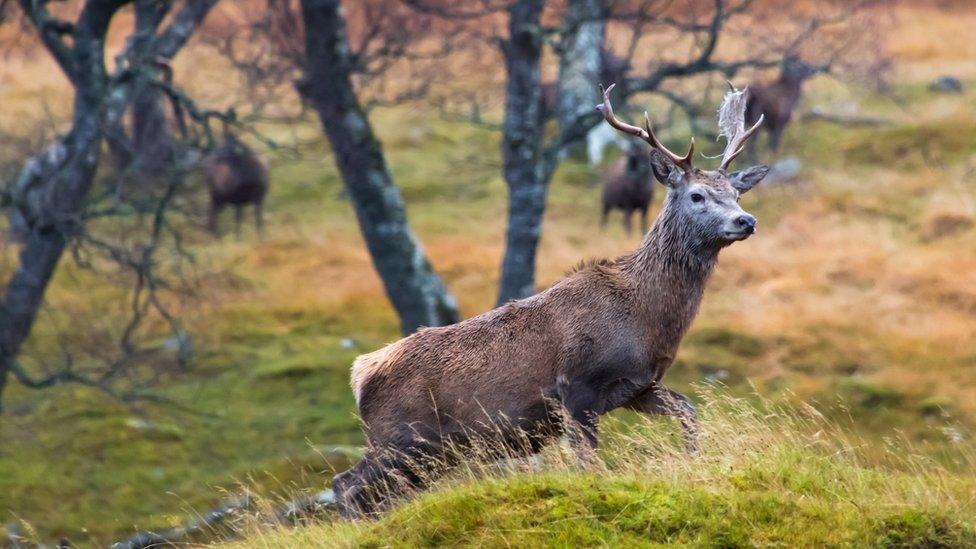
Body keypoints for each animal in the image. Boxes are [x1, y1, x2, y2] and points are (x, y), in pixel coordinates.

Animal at [336, 82, 772, 520]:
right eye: (697, 195)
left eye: (736, 193)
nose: (746, 220)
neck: (645, 315)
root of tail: (360, 373)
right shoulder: (577, 385)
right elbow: (589, 464)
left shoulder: (639, 385)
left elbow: (689, 410)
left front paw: (694, 459)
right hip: (399, 436)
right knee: (346, 485)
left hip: (424, 454)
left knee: (368, 491)